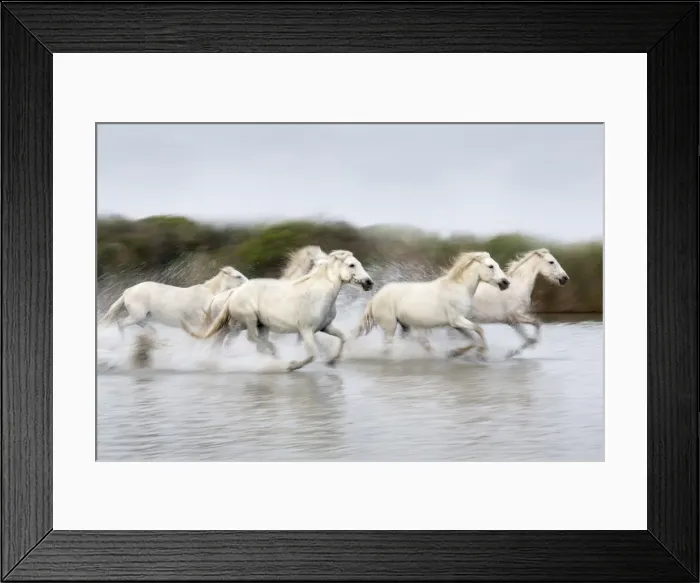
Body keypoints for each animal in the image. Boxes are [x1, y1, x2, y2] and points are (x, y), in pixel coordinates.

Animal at [182, 250, 374, 372]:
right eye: (352, 265)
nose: (369, 282)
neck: (318, 293)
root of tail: (234, 293)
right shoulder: (306, 331)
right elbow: (312, 355)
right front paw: (292, 365)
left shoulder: (325, 327)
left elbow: (343, 338)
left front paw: (332, 361)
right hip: (248, 320)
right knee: (251, 339)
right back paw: (274, 356)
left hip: (258, 325)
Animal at [353, 251, 510, 360]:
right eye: (491, 266)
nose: (506, 282)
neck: (458, 288)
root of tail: (374, 299)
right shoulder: (457, 320)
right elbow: (479, 330)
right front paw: (482, 353)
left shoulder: (456, 324)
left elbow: (472, 338)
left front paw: (453, 353)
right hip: (390, 326)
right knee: (387, 348)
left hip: (409, 327)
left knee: (424, 345)